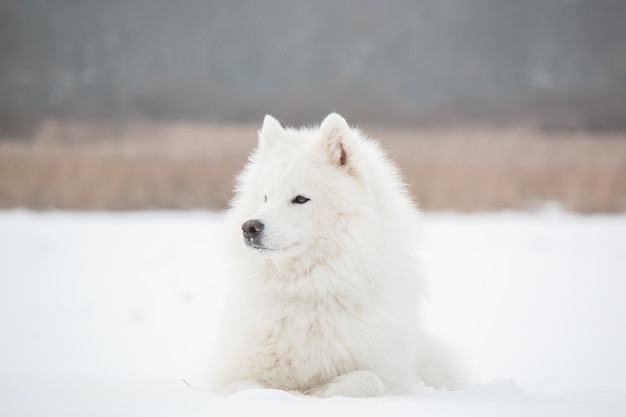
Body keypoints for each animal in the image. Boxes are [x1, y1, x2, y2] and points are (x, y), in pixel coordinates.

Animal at [212, 113, 460, 396]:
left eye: (300, 199)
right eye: (265, 197)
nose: (250, 227)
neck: (311, 288)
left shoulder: (387, 375)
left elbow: (368, 380)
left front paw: (321, 391)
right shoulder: (233, 376)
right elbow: (260, 389)